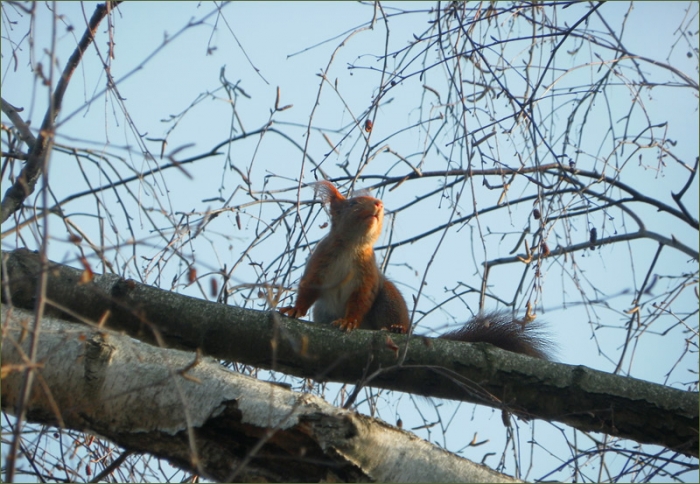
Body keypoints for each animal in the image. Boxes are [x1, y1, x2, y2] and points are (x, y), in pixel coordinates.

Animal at [279, 181, 551, 360]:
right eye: (354, 203)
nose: (379, 204)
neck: (353, 246)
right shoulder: (320, 261)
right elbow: (308, 288)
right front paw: (294, 309)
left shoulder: (368, 275)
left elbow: (361, 299)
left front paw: (349, 321)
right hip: (323, 311)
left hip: (388, 298)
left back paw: (397, 329)